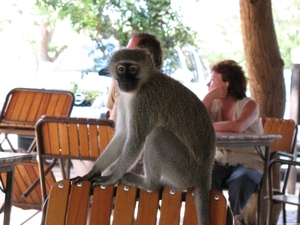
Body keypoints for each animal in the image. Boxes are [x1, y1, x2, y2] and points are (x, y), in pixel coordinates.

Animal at [74, 48, 216, 224]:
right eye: (121, 69)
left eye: (133, 69)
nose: (125, 80)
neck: (143, 83)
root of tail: (205, 173)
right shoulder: (124, 98)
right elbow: (123, 135)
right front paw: (93, 172)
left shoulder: (144, 100)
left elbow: (136, 139)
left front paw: (112, 178)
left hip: (184, 171)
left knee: (156, 135)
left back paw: (149, 184)